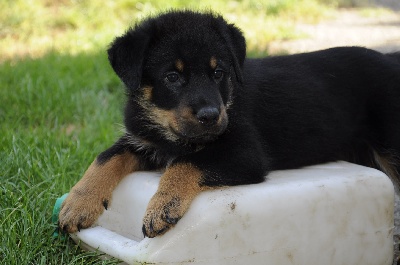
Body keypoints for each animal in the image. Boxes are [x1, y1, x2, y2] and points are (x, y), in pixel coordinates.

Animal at [58, 10, 400, 237]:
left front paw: (163, 206)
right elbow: (105, 157)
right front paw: (78, 204)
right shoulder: (141, 139)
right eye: (172, 77)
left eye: (218, 72)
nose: (211, 115)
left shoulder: (244, 152)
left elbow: (186, 162)